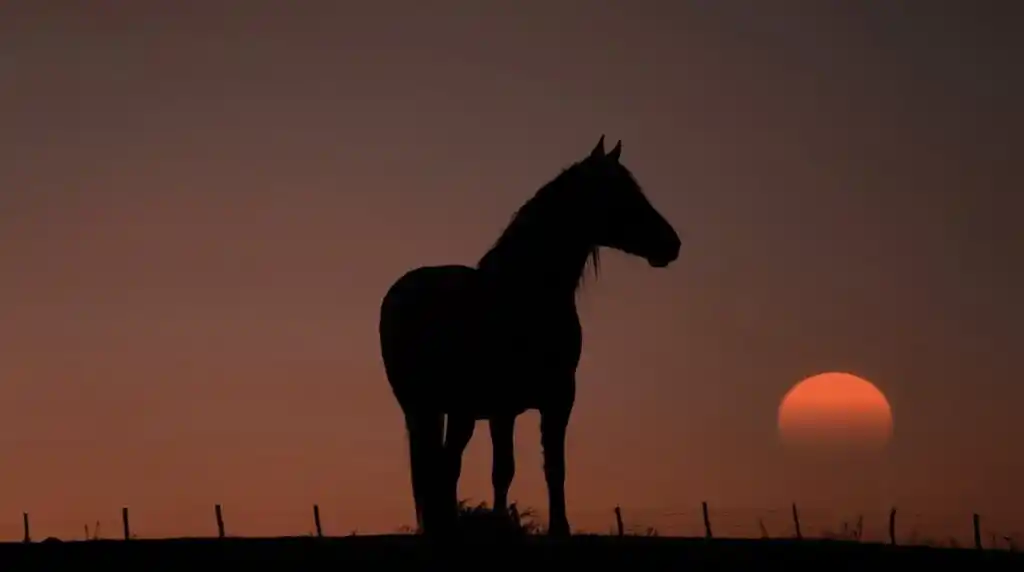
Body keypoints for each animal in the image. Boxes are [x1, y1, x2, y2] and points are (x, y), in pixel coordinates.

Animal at [378, 135, 681, 537]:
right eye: (621, 191)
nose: (672, 244)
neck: (524, 293)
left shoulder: (558, 398)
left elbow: (552, 467)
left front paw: (558, 528)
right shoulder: (502, 405)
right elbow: (503, 470)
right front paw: (503, 524)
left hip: (450, 411)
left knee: (443, 466)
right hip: (431, 407)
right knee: (439, 468)